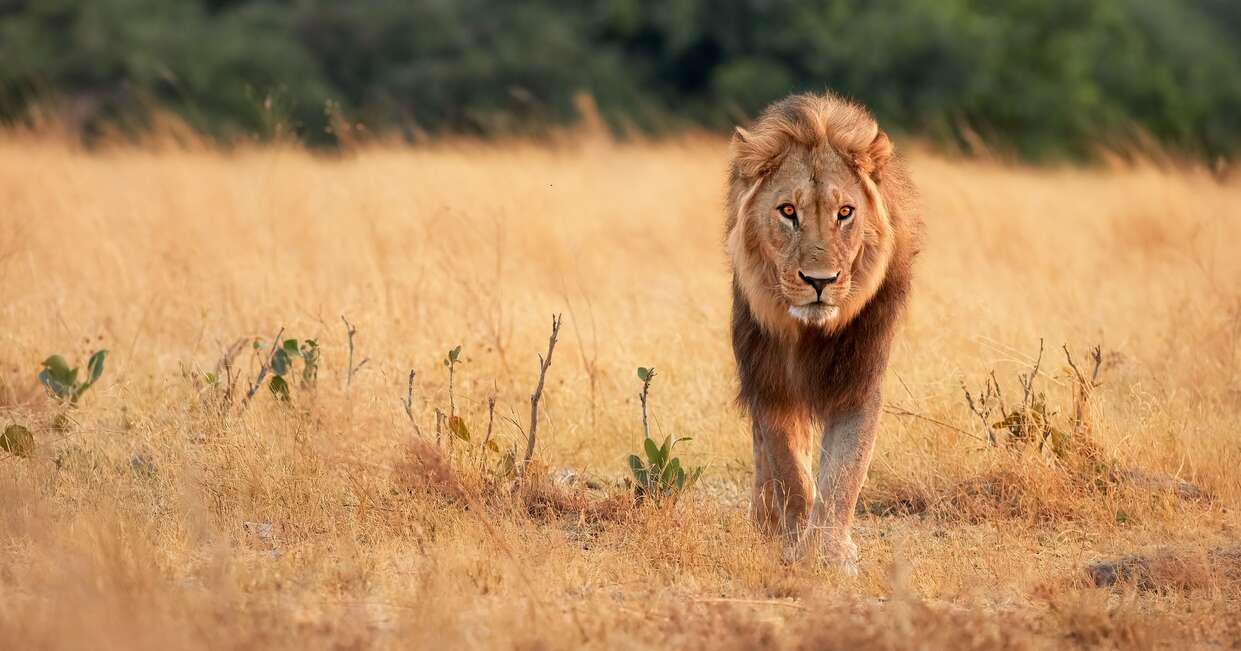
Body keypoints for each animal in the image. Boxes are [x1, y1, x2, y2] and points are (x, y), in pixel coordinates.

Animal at [726, 92, 922, 572]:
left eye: (845, 213)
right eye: (788, 211)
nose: (820, 281)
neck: (809, 331)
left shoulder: (858, 378)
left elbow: (845, 472)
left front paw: (830, 552)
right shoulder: (768, 378)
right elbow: (788, 466)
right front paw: (796, 539)